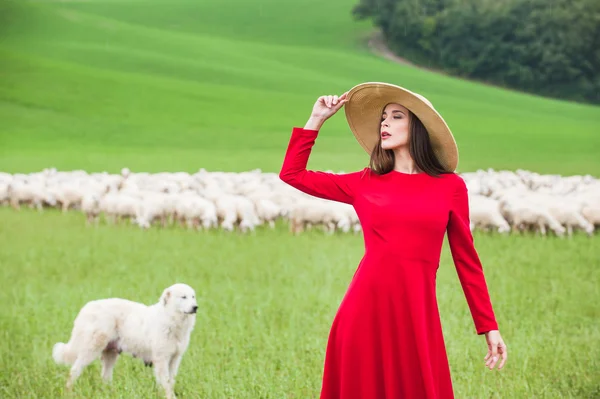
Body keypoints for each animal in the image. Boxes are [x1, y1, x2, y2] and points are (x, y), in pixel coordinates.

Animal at [51, 282, 197, 398]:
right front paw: (169, 397)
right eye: (183, 297)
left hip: (110, 354)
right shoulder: (161, 359)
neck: (171, 318)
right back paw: (68, 392)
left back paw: (110, 393)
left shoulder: (175, 359)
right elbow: (166, 383)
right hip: (91, 349)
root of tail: (87, 307)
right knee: (74, 371)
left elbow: (171, 381)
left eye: (193, 296)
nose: (195, 307)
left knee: (105, 377)